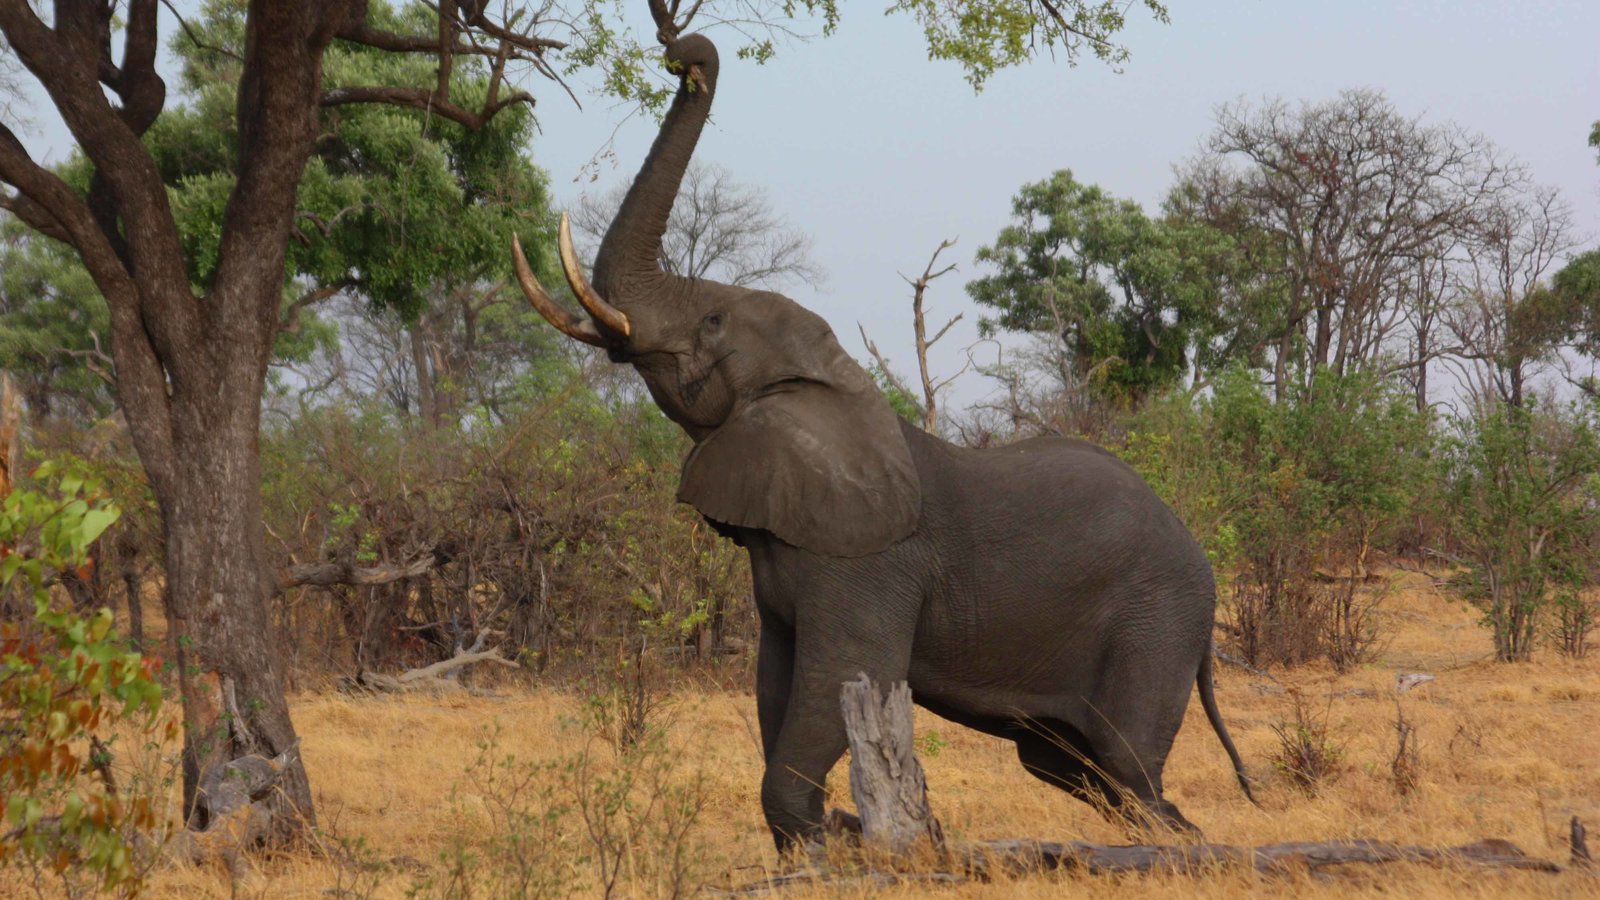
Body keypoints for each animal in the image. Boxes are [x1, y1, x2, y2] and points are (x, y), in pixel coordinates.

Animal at [511, 32, 1253, 850]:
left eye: (712, 322)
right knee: (1083, 771)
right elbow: (777, 684)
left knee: (1128, 768)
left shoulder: (867, 563)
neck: (828, 382)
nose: (687, 55)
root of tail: (1201, 563)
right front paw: (832, 834)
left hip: (1156, 621)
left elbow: (839, 676)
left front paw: (832, 834)